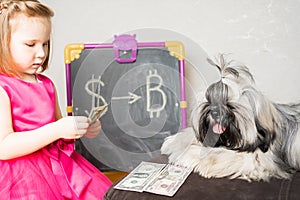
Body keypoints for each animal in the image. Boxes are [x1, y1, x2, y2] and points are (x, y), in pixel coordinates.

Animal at [161, 54, 300, 181]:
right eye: (209, 101)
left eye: (230, 105)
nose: (215, 112)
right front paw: (174, 141)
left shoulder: (257, 160)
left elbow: (213, 154)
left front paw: (186, 153)